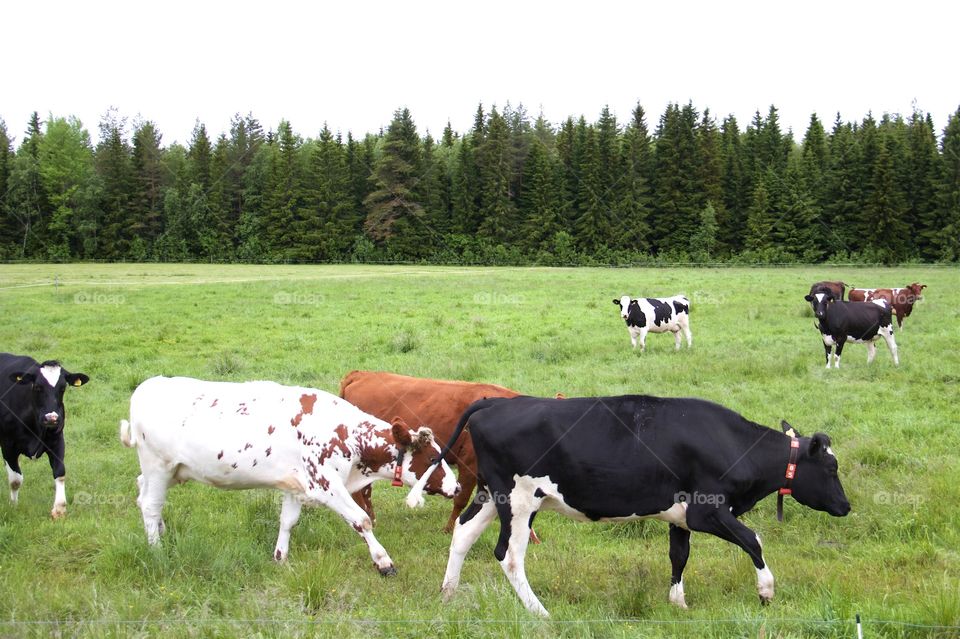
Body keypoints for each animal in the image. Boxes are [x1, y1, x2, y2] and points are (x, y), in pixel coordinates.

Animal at [0, 352, 90, 524]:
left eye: (62, 388)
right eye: (37, 387)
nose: (51, 418)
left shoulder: (57, 440)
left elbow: (60, 472)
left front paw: (59, 509)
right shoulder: (8, 444)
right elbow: (15, 479)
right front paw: (13, 506)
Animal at [119, 376, 458, 576]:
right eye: (432, 458)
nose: (455, 486)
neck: (345, 433)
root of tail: (147, 385)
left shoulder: (295, 485)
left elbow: (288, 521)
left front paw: (280, 556)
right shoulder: (325, 484)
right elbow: (361, 520)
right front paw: (384, 562)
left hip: (170, 470)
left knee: (144, 494)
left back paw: (162, 533)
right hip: (157, 465)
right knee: (150, 505)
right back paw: (157, 550)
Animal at [416, 396, 852, 616]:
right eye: (831, 467)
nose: (846, 506)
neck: (732, 442)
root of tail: (494, 402)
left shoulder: (681, 517)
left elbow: (679, 555)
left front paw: (677, 602)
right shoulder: (707, 510)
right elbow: (753, 540)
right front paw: (765, 591)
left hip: (492, 494)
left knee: (463, 532)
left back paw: (447, 594)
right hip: (520, 500)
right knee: (508, 555)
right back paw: (540, 613)